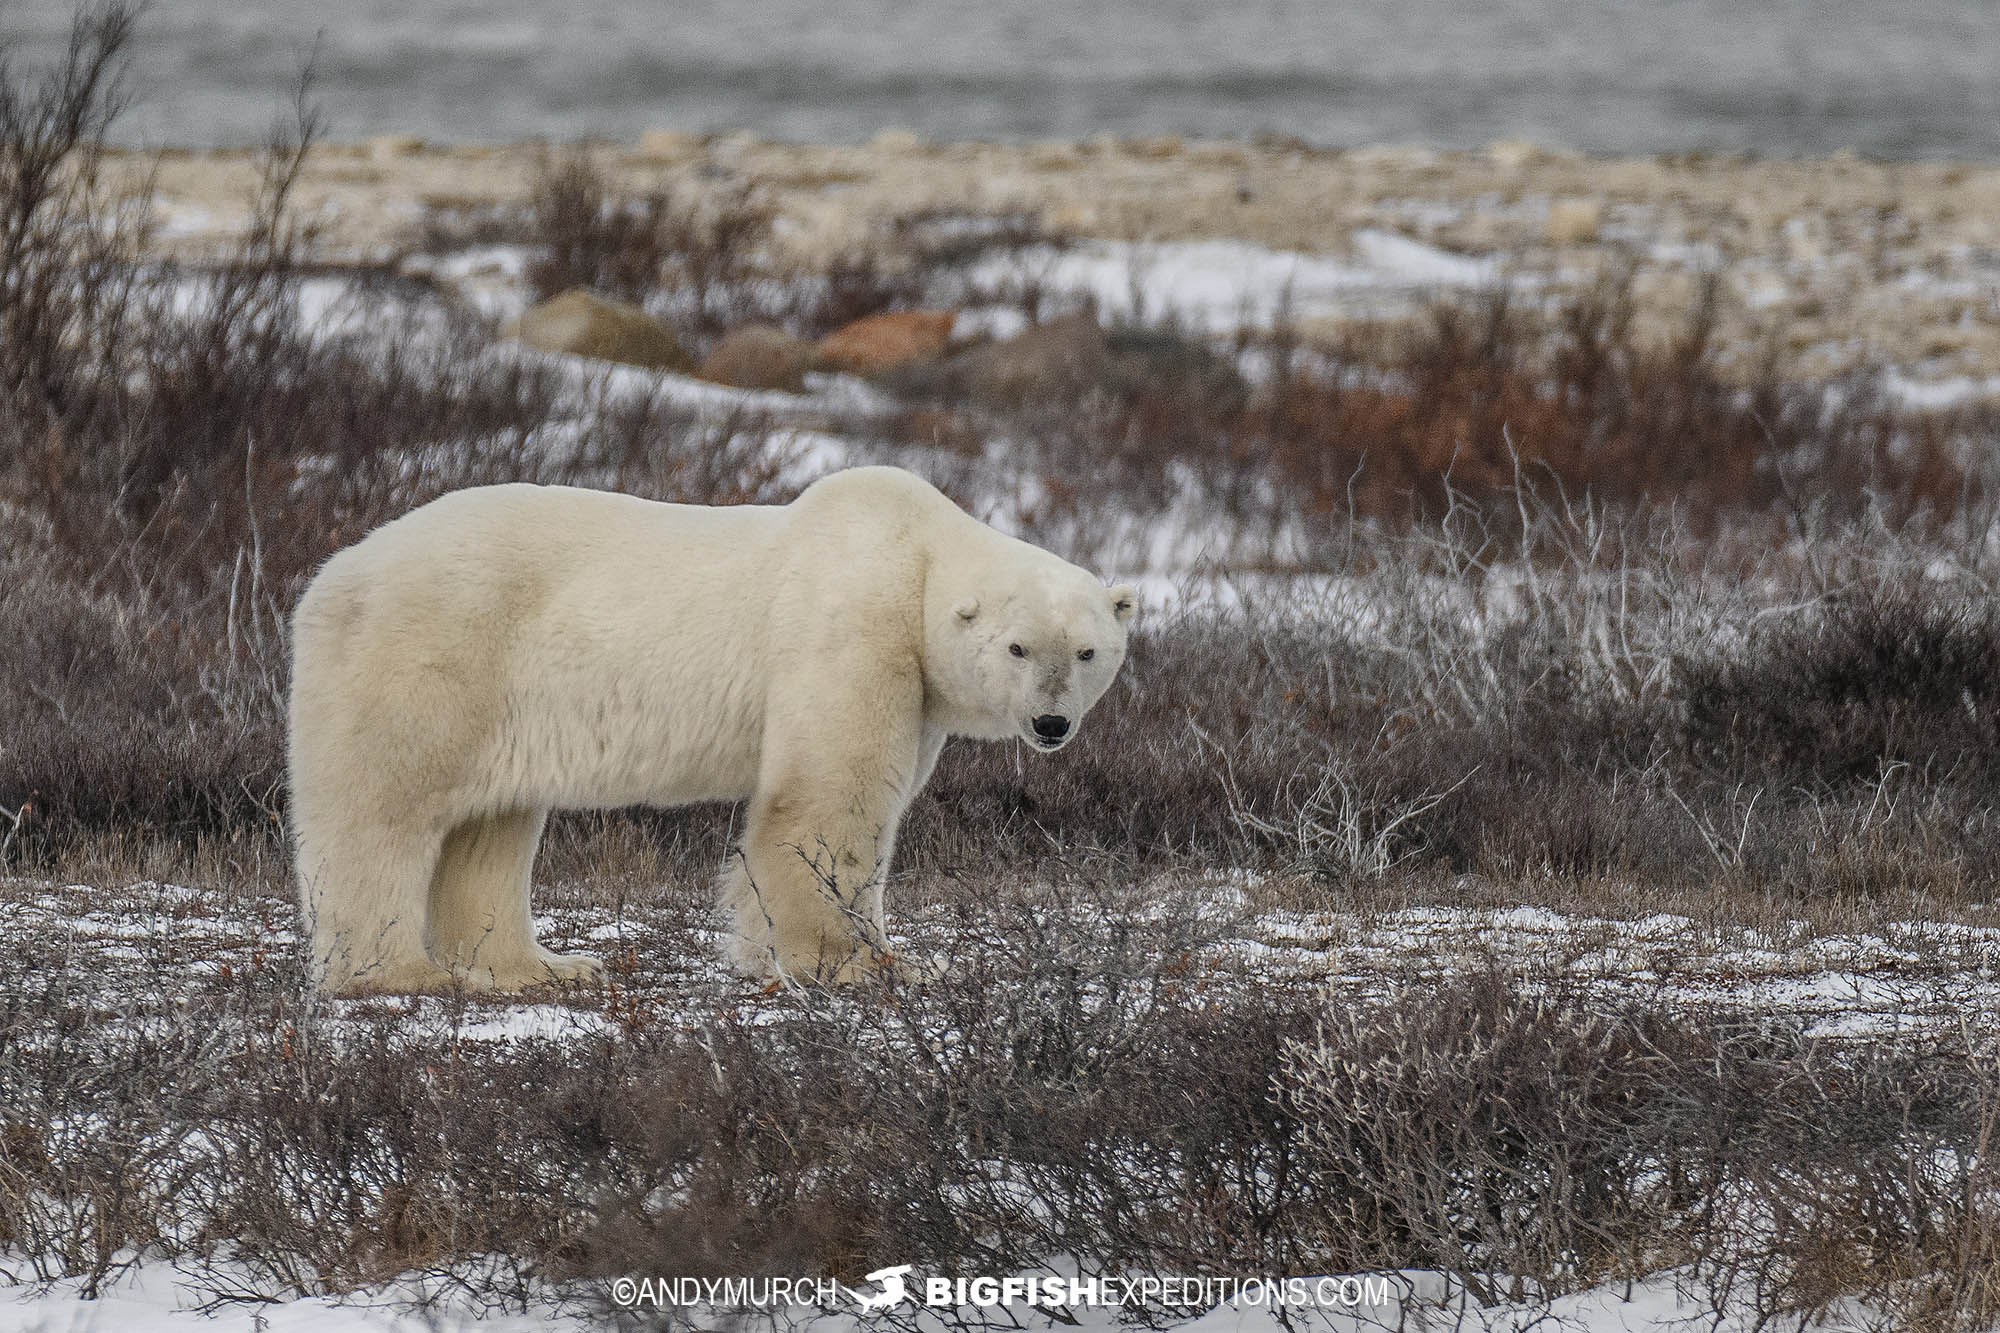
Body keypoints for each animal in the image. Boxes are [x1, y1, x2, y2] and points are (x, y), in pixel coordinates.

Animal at [287, 466, 1137, 996]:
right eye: (1018, 646)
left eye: (1086, 650)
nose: (1052, 721)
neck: (916, 558)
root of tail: (332, 575)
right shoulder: (851, 628)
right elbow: (826, 799)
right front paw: (857, 963)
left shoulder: (917, 689)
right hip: (436, 649)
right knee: (385, 811)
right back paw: (399, 971)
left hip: (503, 697)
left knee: (488, 826)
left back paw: (543, 965)